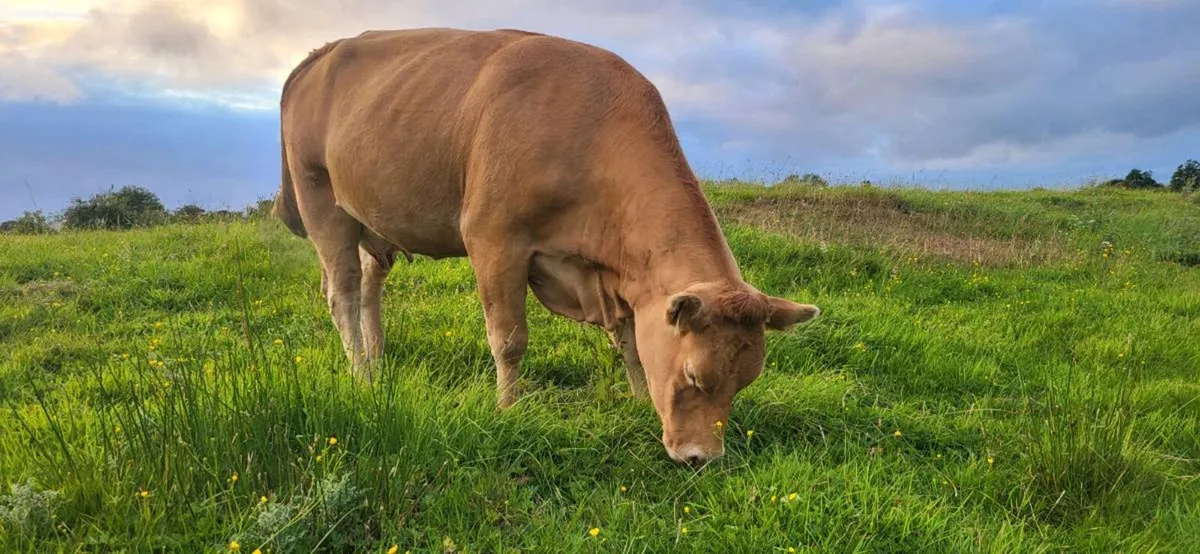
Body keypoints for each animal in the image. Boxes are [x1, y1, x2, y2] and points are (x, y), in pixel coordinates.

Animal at [272, 28, 820, 465]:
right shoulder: (494, 240)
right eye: (693, 375)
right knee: (341, 291)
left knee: (370, 284)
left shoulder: (612, 278)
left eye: (745, 381)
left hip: (371, 219)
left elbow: (630, 341)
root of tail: (322, 53)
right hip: (321, 199)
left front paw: (637, 400)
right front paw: (508, 408)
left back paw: (378, 361)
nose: (701, 458)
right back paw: (361, 376)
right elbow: (509, 339)